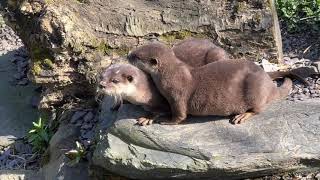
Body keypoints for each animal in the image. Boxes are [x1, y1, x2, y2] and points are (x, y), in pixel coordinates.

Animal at [127, 43, 296, 125]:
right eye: (135, 50)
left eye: (136, 56)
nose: (127, 55)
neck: (170, 74)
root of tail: (268, 83)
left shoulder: (177, 95)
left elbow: (180, 114)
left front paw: (167, 121)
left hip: (255, 90)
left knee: (258, 109)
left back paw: (242, 116)